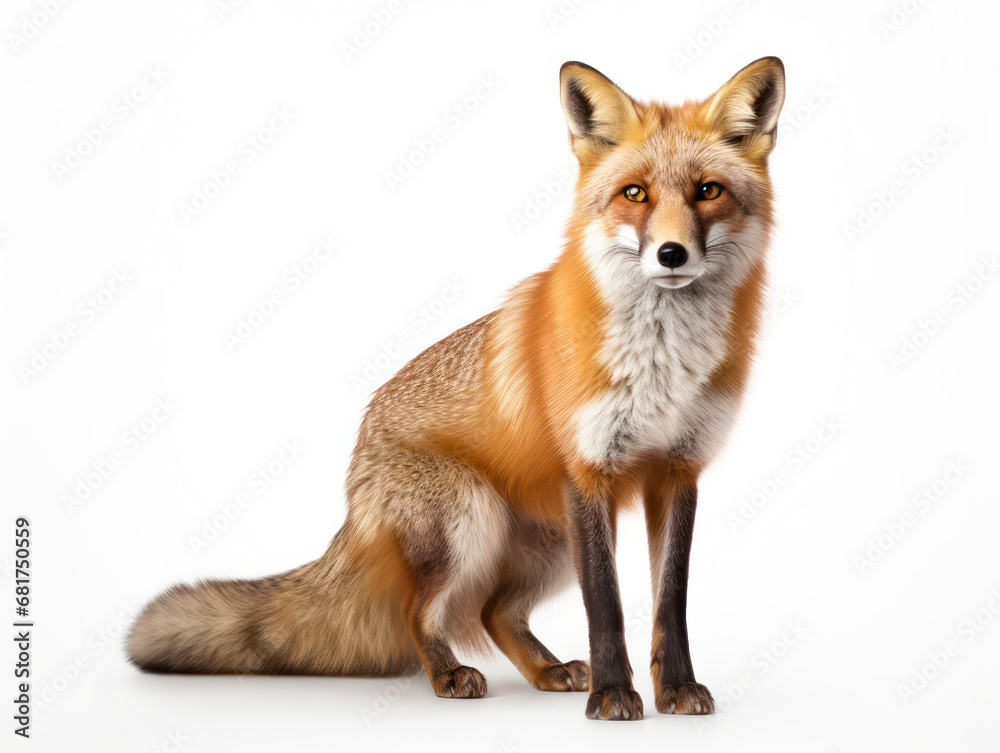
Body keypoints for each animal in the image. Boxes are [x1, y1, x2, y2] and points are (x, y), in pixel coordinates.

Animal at [127, 56, 786, 721]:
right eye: (635, 194)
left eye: (708, 191)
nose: (672, 254)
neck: (663, 365)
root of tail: (357, 462)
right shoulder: (588, 472)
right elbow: (607, 605)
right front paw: (613, 695)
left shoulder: (677, 470)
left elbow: (669, 604)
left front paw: (674, 689)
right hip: (472, 517)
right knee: (419, 610)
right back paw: (448, 674)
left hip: (547, 542)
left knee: (495, 612)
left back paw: (548, 671)